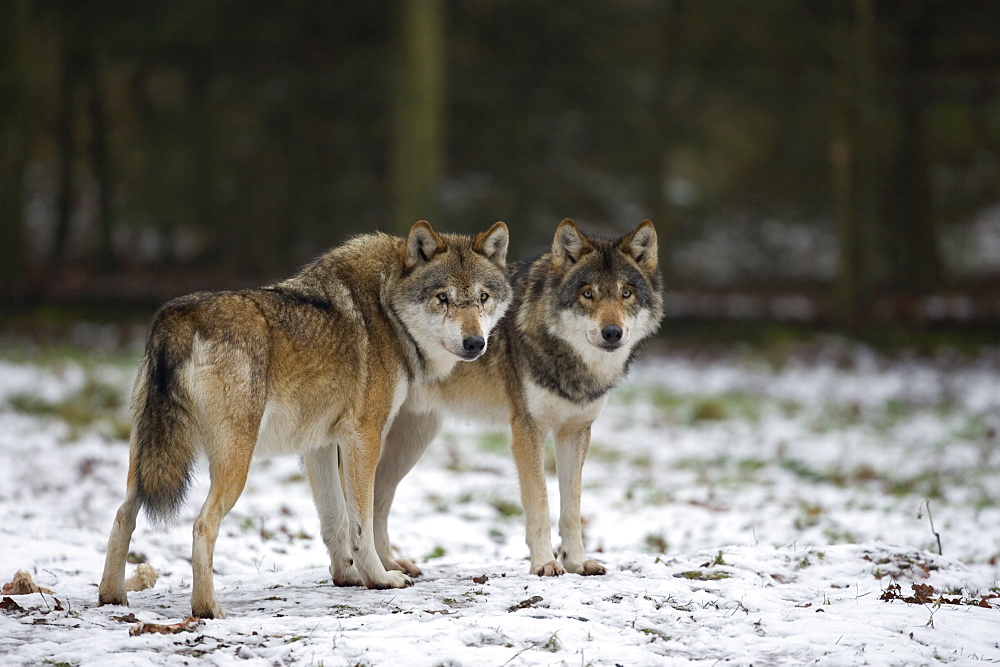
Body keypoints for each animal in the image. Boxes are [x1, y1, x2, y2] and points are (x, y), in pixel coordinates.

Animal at [97, 222, 512, 620]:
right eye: (442, 298)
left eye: (482, 298)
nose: (475, 343)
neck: (387, 307)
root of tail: (180, 315)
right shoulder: (364, 437)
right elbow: (360, 522)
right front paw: (380, 578)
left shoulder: (321, 444)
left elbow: (334, 520)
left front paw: (346, 576)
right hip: (234, 463)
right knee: (202, 525)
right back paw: (207, 608)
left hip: (147, 460)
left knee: (122, 516)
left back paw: (112, 598)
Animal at [372, 219, 660, 580]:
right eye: (587, 293)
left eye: (626, 293)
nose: (612, 333)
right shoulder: (527, 430)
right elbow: (540, 501)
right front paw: (545, 563)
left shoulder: (575, 431)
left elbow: (572, 506)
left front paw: (577, 562)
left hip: (414, 441)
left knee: (377, 500)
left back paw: (390, 564)